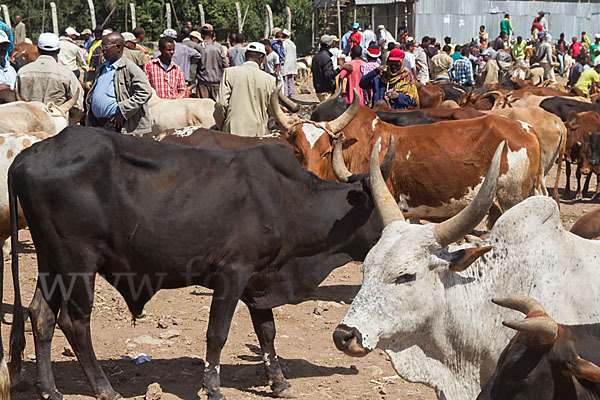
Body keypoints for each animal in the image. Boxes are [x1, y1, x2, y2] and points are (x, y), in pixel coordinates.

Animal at [8, 126, 394, 398]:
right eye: (381, 206)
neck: (285, 198)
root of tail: (29, 154)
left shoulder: (258, 278)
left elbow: (267, 332)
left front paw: (280, 383)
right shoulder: (232, 273)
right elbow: (217, 333)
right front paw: (212, 387)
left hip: (51, 261)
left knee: (41, 316)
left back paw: (50, 390)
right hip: (77, 263)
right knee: (74, 323)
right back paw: (105, 389)